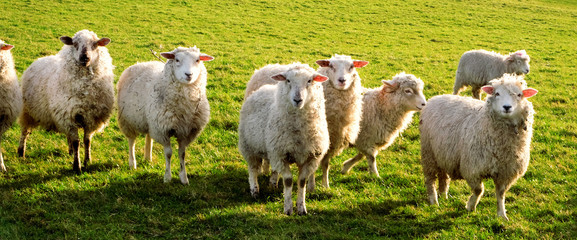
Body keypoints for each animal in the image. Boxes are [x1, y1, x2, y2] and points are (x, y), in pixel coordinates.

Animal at [17, 30, 114, 173]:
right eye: (75, 43)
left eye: (95, 44)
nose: (84, 57)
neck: (85, 90)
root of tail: (41, 59)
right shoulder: (69, 116)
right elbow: (76, 142)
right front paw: (76, 166)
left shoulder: (90, 118)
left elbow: (87, 141)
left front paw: (87, 160)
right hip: (28, 111)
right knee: (24, 131)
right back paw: (21, 152)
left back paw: (70, 151)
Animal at [117, 47, 214, 186]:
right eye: (177, 60)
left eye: (197, 60)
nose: (188, 75)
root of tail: (141, 63)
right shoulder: (163, 130)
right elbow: (168, 154)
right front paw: (167, 177)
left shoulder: (186, 131)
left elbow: (182, 154)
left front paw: (184, 178)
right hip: (128, 120)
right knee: (131, 141)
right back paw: (132, 163)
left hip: (151, 121)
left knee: (149, 136)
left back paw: (148, 157)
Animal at [237, 62, 328, 216]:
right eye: (288, 80)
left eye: (309, 81)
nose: (297, 100)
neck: (298, 131)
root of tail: (261, 89)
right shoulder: (280, 155)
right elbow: (289, 181)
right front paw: (288, 208)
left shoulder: (311, 157)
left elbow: (302, 181)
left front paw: (301, 208)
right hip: (249, 146)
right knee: (253, 169)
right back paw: (254, 190)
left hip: (270, 150)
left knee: (273, 168)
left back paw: (273, 183)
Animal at [418, 74, 536, 220]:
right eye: (497, 93)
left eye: (519, 95)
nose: (507, 107)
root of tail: (436, 97)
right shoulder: (472, 167)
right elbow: (479, 190)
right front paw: (470, 206)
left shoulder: (505, 172)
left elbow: (500, 194)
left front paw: (502, 215)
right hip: (428, 152)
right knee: (430, 178)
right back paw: (434, 201)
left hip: (443, 153)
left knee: (443, 176)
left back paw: (443, 195)